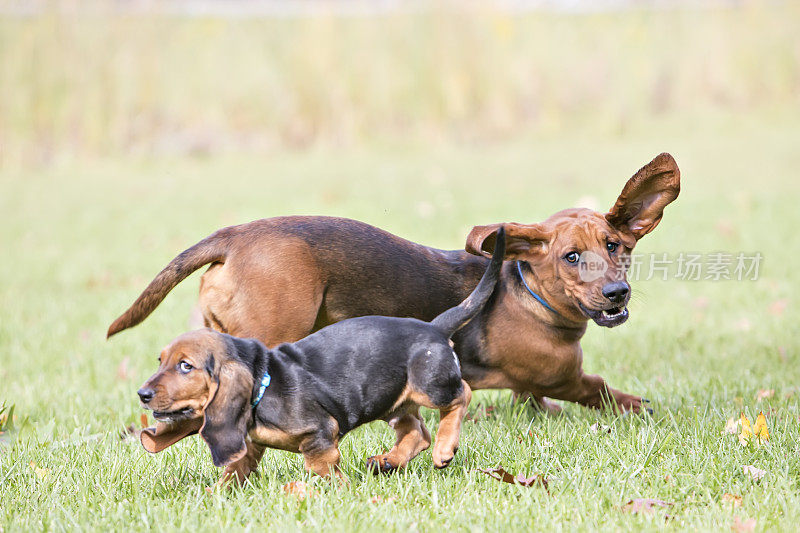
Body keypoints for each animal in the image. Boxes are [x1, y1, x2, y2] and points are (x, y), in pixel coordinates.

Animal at [109, 152, 680, 414]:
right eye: (571, 257)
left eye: (616, 246)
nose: (617, 294)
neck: (531, 295)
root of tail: (235, 234)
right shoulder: (566, 378)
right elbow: (606, 391)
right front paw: (645, 409)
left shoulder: (537, 387)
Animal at [134, 227, 504, 480]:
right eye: (160, 361)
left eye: (186, 367)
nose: (143, 394)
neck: (263, 383)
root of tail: (435, 327)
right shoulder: (249, 443)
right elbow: (237, 467)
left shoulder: (320, 434)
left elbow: (321, 466)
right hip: (390, 398)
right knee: (417, 432)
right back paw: (389, 460)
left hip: (431, 386)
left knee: (460, 396)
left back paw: (444, 448)